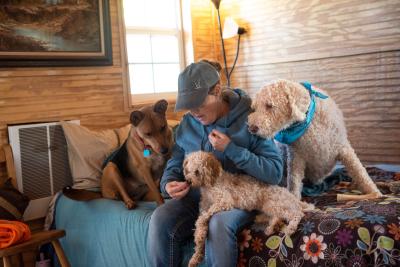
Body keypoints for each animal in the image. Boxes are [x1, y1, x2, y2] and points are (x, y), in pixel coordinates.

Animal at [184, 152, 312, 266]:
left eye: (197, 172)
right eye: (188, 170)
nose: (188, 181)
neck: (209, 185)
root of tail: (292, 197)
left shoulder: (224, 201)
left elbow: (202, 219)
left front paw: (198, 234)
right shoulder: (205, 206)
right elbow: (202, 225)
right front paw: (196, 255)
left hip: (273, 203)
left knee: (297, 213)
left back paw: (290, 228)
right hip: (270, 206)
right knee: (278, 216)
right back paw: (270, 227)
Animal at [247, 80, 382, 202]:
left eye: (269, 105)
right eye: (254, 108)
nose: (251, 128)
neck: (308, 121)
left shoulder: (343, 148)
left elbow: (360, 172)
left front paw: (375, 193)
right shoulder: (296, 158)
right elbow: (294, 182)